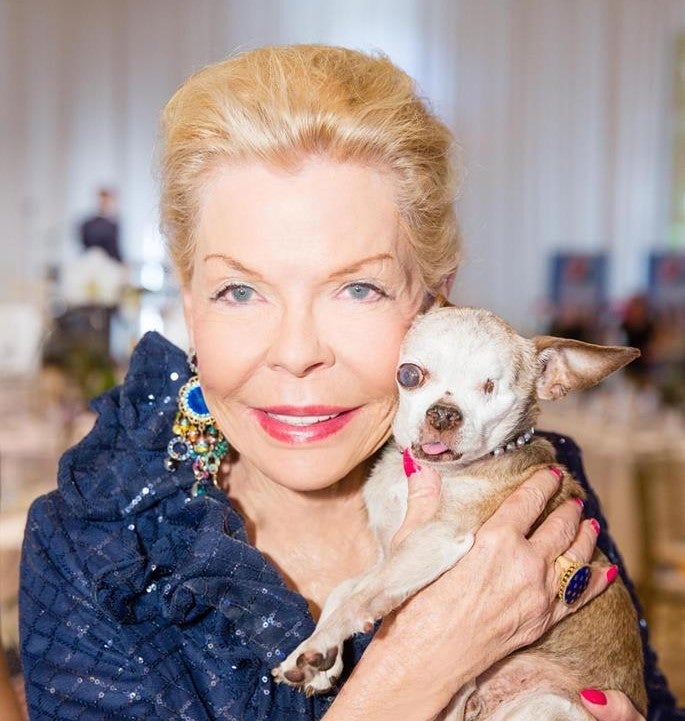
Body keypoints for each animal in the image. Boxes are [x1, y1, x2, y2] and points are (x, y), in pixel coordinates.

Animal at [270, 306, 644, 720]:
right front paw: (324, 661)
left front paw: (317, 646)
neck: (433, 473)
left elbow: (360, 595)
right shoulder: (392, 552)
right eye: (409, 374)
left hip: (545, 704)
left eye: (492, 389)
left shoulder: (436, 539)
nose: (444, 414)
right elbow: (345, 589)